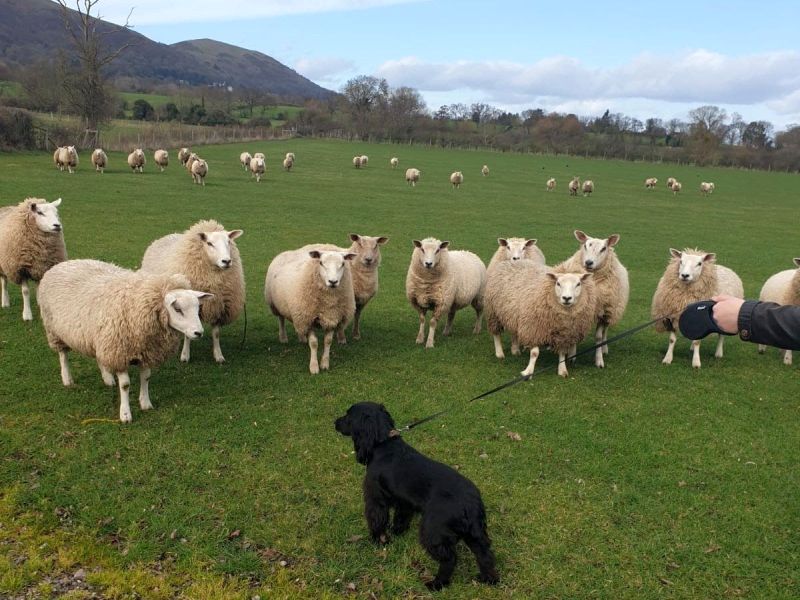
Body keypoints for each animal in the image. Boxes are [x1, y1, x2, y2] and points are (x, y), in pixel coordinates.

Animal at [38, 260, 211, 424]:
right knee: (63, 355)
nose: (199, 333)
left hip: (98, 337)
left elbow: (146, 377)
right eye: (178, 309)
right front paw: (125, 414)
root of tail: (62, 264)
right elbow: (125, 385)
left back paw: (107, 378)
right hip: (54, 330)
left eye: (198, 308)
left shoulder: (145, 351)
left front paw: (145, 403)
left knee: (99, 357)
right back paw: (67, 378)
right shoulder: (119, 351)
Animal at [141, 219, 245, 364]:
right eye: (209, 243)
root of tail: (168, 235)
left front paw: (218, 355)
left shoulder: (219, 306)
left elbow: (216, 334)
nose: (226, 261)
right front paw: (185, 355)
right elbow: (187, 334)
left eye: (228, 242)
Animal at [332, 404, 496, 592]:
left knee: (450, 559)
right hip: (474, 533)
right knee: (485, 554)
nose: (335, 422)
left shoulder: (375, 498)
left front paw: (378, 540)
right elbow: (400, 519)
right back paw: (488, 579)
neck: (383, 443)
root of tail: (470, 502)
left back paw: (436, 584)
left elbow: (377, 520)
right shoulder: (404, 502)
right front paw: (397, 532)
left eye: (348, 415)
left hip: (432, 531)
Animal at [560, 231, 628, 368]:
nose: (589, 262)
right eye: (585, 246)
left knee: (605, 332)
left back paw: (604, 349)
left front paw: (599, 360)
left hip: (610, 312)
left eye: (603, 248)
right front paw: (572, 356)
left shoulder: (603, 312)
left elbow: (598, 337)